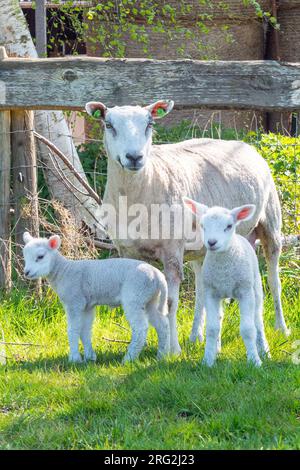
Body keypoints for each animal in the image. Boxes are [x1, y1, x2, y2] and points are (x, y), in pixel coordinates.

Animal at [22, 231, 170, 364]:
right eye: (25, 256)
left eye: (40, 256)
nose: (26, 272)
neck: (64, 271)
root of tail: (158, 276)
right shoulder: (87, 305)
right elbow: (85, 330)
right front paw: (90, 357)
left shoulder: (74, 301)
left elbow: (73, 329)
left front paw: (74, 359)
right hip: (150, 299)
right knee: (162, 325)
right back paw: (161, 356)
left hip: (135, 295)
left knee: (141, 328)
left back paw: (128, 359)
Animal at [183, 198, 270, 368]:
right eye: (202, 225)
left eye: (229, 226)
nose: (211, 242)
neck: (224, 268)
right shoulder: (211, 293)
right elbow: (212, 328)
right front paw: (208, 360)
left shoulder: (245, 292)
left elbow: (248, 329)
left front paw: (255, 361)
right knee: (219, 317)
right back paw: (217, 349)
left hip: (255, 287)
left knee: (258, 319)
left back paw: (264, 351)